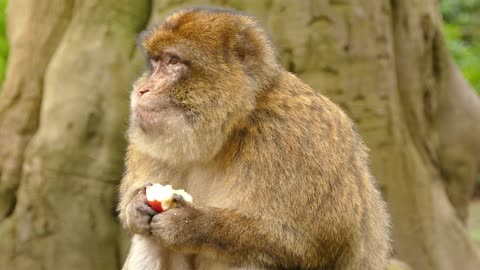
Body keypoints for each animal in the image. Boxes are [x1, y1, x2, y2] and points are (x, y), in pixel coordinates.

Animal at [118, 6, 392, 270]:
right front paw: (136, 206)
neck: (233, 129)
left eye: (173, 61)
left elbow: (315, 243)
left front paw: (192, 224)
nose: (142, 90)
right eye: (155, 63)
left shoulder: (296, 138)